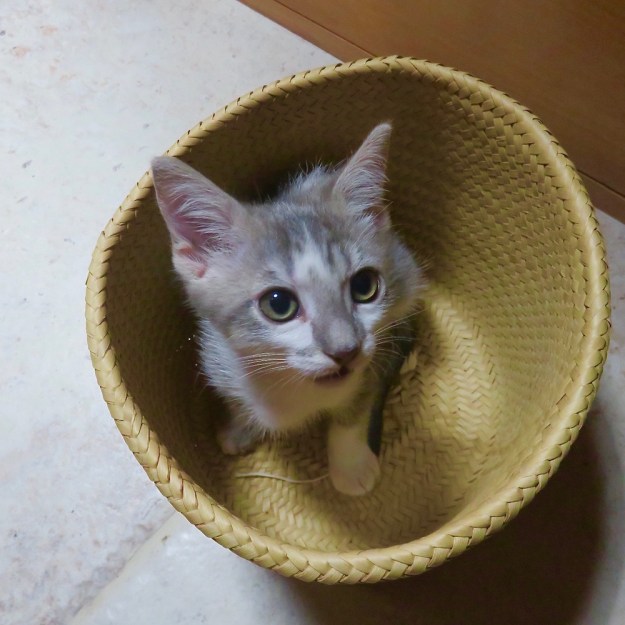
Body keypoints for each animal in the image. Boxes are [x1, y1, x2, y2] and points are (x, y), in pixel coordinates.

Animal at [151, 122, 425, 496]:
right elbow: (236, 400)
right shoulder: (216, 357)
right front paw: (239, 428)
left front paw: (351, 467)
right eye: (278, 304)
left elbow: (354, 411)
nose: (345, 350)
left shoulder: (372, 358)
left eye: (364, 286)